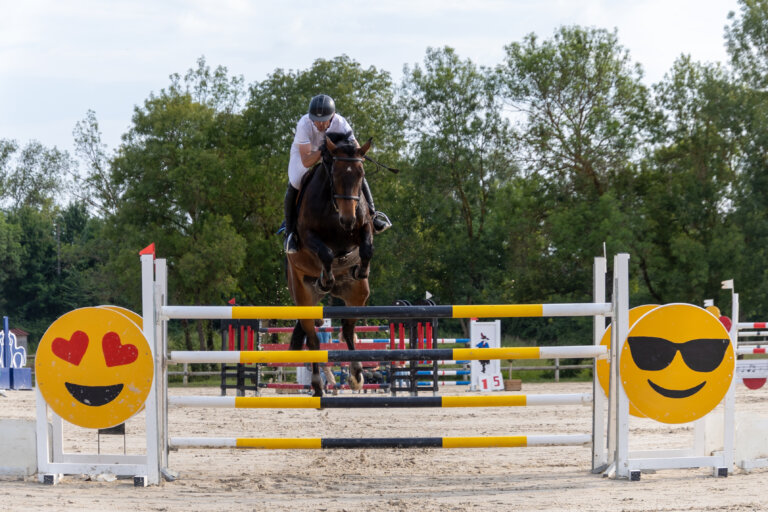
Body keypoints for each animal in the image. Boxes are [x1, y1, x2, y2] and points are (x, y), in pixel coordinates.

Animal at [285, 135, 374, 397]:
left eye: (361, 174)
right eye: (334, 173)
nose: (348, 219)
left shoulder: (364, 226)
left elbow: (366, 246)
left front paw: (361, 268)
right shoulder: (308, 236)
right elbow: (324, 252)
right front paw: (326, 277)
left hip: (358, 295)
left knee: (348, 330)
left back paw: (356, 375)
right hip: (303, 297)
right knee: (314, 340)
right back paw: (317, 386)